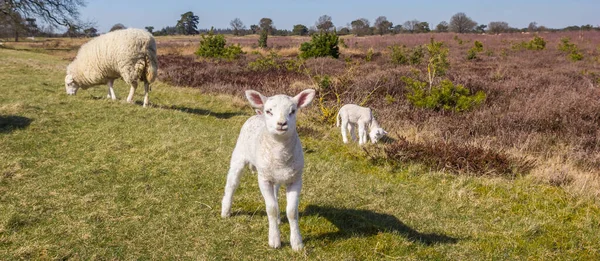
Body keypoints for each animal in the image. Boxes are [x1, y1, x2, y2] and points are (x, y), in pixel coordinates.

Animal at [221, 89, 316, 250]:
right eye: (269, 111)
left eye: (293, 111)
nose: (282, 123)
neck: (281, 155)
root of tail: (257, 115)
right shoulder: (264, 179)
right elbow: (271, 208)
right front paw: (274, 240)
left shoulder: (296, 179)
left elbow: (291, 212)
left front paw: (297, 243)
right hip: (238, 157)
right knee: (231, 185)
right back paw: (225, 211)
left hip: (275, 176)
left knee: (276, 195)